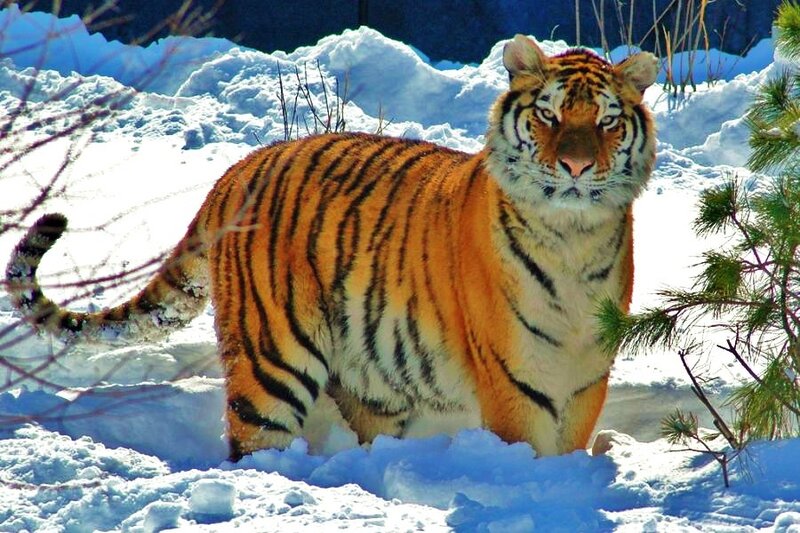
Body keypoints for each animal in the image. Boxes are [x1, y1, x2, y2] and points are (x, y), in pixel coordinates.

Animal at [5, 35, 657, 460]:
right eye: (549, 115)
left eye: (606, 122)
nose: (576, 167)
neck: (572, 240)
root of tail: (235, 172)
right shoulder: (514, 376)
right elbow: (529, 449)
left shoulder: (586, 373)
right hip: (271, 362)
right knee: (253, 446)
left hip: (374, 371)